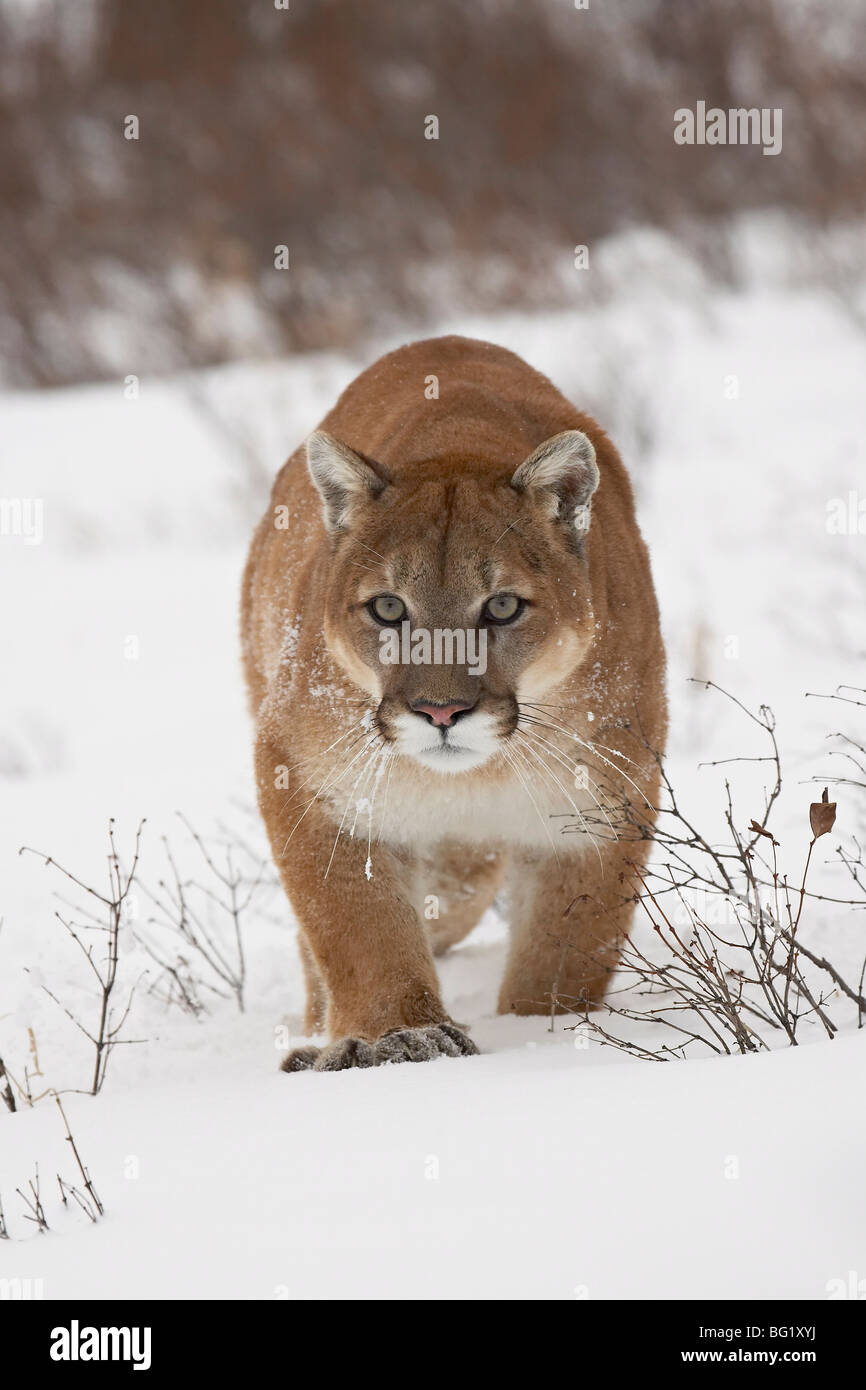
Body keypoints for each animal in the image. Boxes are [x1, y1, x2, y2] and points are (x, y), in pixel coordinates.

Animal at [241, 335, 666, 1070]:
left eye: (501, 607)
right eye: (388, 608)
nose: (440, 713)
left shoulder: (602, 801)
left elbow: (566, 949)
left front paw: (546, 1033)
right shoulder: (309, 776)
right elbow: (355, 923)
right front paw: (399, 1035)